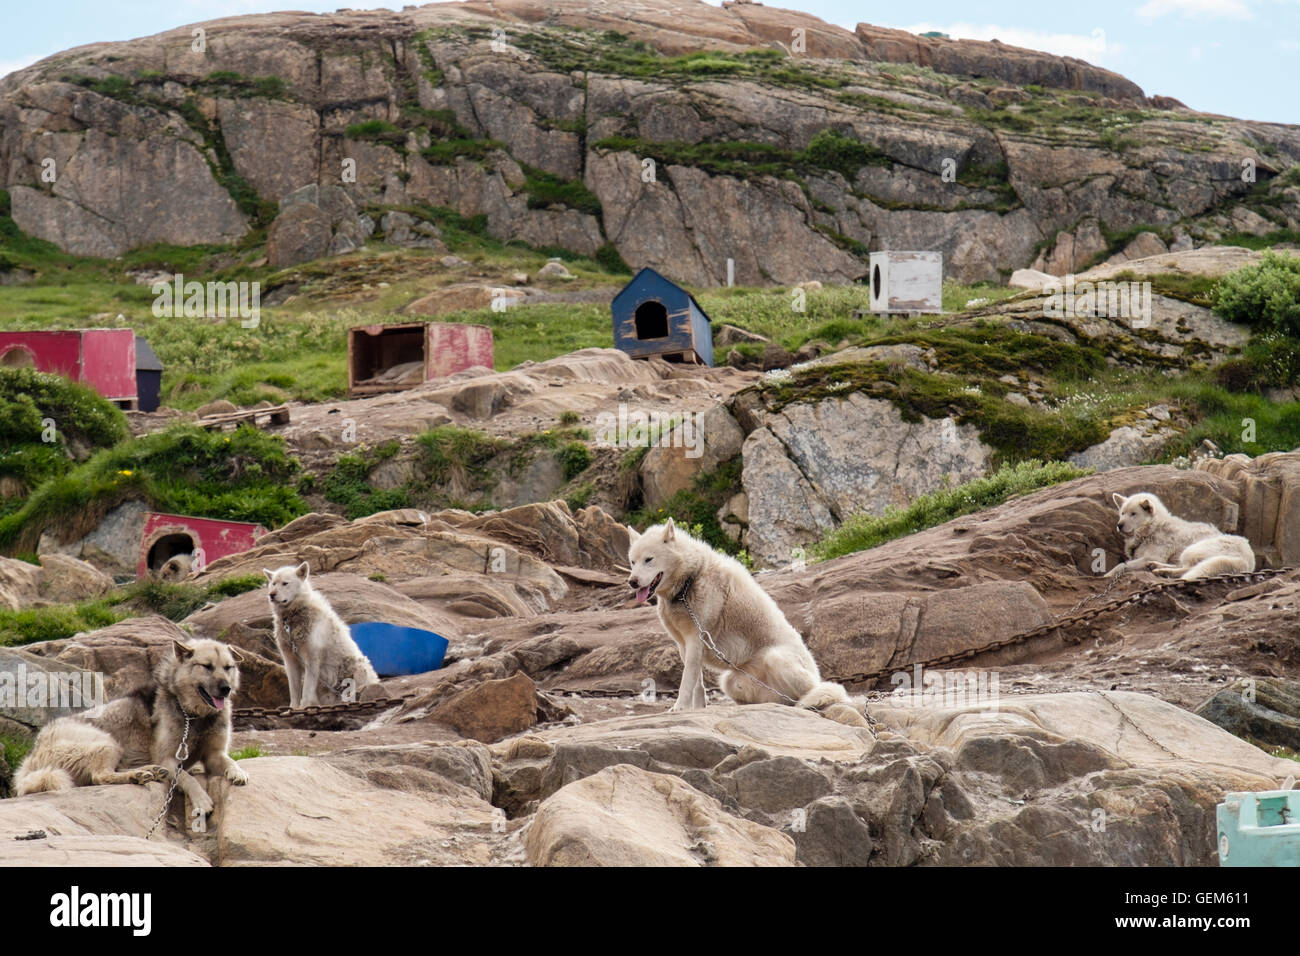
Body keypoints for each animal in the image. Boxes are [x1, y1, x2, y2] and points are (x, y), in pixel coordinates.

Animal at [263, 561, 379, 712]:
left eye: (285, 583)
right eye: (273, 583)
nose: (271, 595)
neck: (293, 615)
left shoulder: (312, 659)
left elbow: (306, 690)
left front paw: (303, 708)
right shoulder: (290, 660)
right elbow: (294, 691)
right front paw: (292, 710)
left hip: (358, 666)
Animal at [624, 520, 868, 728]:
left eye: (649, 559)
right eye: (632, 562)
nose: (632, 582)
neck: (689, 581)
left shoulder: (696, 640)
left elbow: (687, 680)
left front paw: (679, 708)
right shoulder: (685, 645)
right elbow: (697, 682)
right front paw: (698, 708)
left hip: (776, 658)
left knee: (814, 693)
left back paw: (806, 701)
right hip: (729, 681)